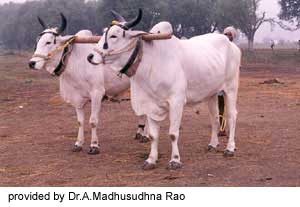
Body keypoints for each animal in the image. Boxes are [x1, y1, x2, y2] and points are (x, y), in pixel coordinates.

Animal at [28, 13, 148, 154]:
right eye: (38, 41)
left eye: (49, 42)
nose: (32, 63)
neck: (75, 62)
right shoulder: (77, 98)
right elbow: (80, 121)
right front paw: (78, 143)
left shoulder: (97, 94)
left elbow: (93, 121)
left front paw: (94, 145)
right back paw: (140, 132)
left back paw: (146, 135)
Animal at [88, 8, 240, 169]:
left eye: (114, 35)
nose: (90, 56)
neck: (151, 63)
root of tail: (231, 44)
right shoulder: (150, 104)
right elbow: (153, 135)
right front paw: (150, 160)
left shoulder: (176, 102)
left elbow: (173, 133)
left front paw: (175, 160)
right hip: (211, 94)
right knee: (215, 118)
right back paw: (212, 144)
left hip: (231, 88)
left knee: (232, 116)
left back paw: (230, 148)